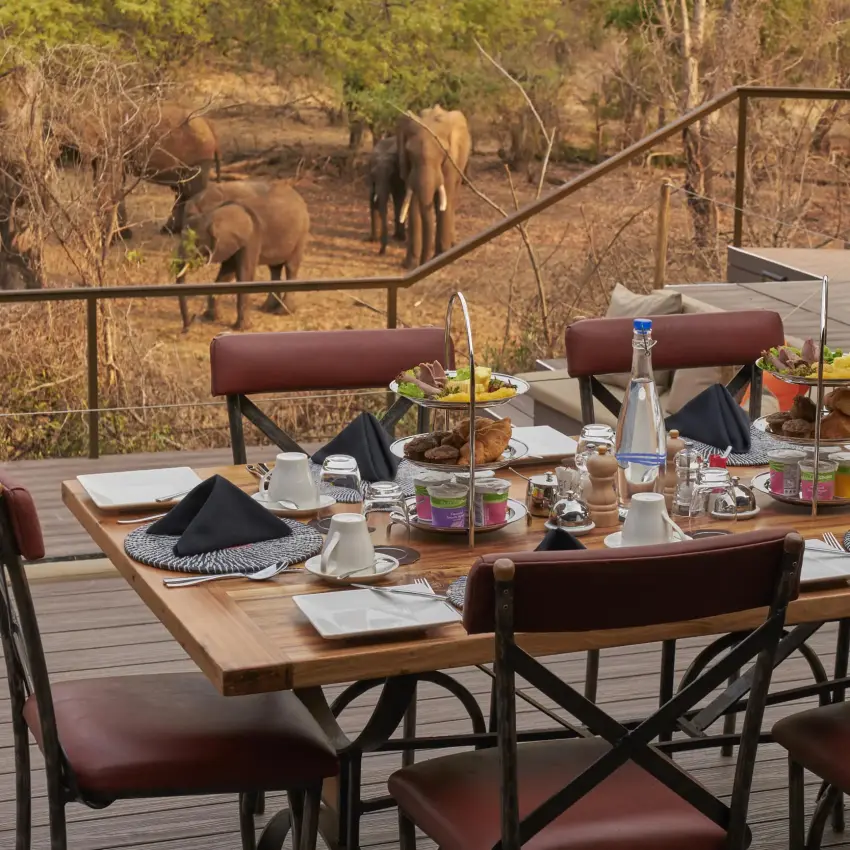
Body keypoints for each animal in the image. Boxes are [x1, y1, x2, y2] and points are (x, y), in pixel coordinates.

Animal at [177, 180, 309, 332]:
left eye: (196, 242)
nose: (188, 326)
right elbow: (227, 272)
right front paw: (211, 317)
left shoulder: (252, 236)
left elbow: (244, 274)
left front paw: (241, 328)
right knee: (274, 268)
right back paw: (267, 309)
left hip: (301, 234)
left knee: (291, 267)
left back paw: (282, 312)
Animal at [397, 105, 471, 269]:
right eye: (409, 152)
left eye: (443, 152)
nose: (424, 262)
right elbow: (413, 204)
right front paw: (410, 265)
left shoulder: (451, 160)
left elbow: (446, 197)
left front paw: (441, 258)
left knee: (451, 199)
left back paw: (452, 244)